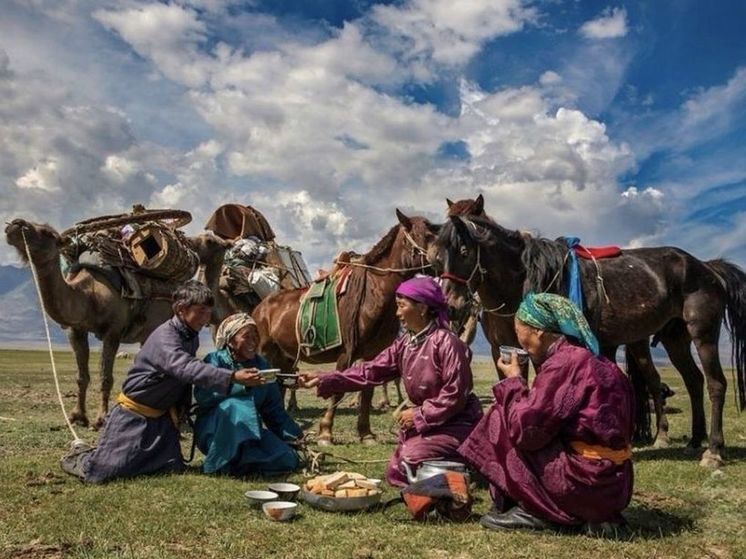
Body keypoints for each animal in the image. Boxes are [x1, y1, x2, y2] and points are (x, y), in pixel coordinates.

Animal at [4, 219, 231, 428]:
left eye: (46, 233)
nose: (14, 224)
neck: (89, 295)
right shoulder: (76, 330)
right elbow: (81, 376)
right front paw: (78, 416)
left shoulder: (113, 331)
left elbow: (106, 377)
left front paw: (101, 418)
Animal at [251, 210, 436, 446]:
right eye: (426, 236)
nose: (441, 259)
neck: (373, 293)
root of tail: (260, 308)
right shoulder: (346, 352)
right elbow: (338, 390)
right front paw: (325, 433)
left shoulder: (372, 354)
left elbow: (367, 390)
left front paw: (366, 433)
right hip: (264, 352)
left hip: (283, 357)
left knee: (280, 386)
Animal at [428, 210, 744, 468]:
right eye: (437, 258)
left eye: (465, 251)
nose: (451, 305)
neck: (525, 282)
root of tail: (706, 267)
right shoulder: (508, 349)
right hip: (675, 339)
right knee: (693, 381)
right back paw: (694, 441)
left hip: (703, 333)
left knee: (715, 384)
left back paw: (713, 451)